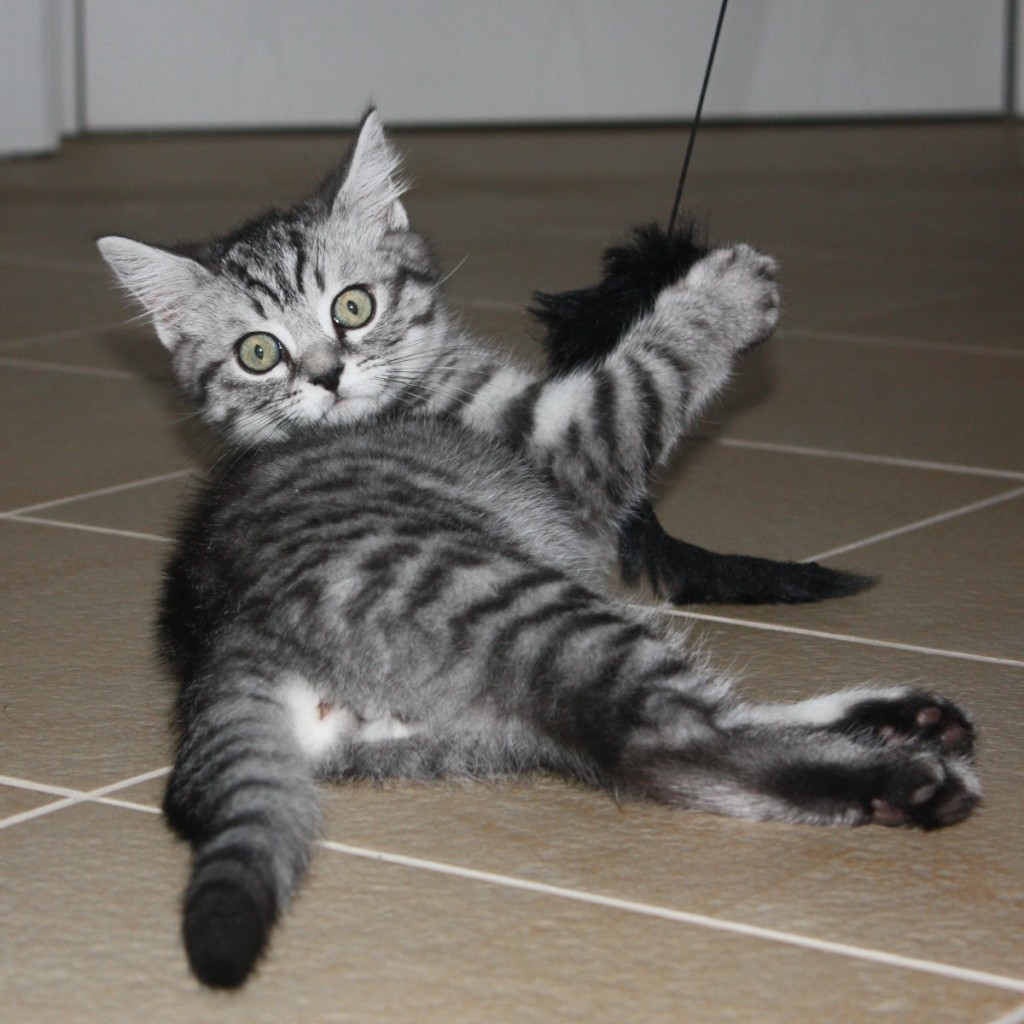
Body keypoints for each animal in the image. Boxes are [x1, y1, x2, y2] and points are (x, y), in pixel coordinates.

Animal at [97, 110, 979, 989]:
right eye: (259, 351)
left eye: (353, 305)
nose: (326, 374)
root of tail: (228, 643)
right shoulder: (566, 442)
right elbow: (641, 379)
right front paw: (717, 297)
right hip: (523, 600)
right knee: (671, 741)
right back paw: (901, 776)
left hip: (461, 733)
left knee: (652, 746)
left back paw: (895, 721)